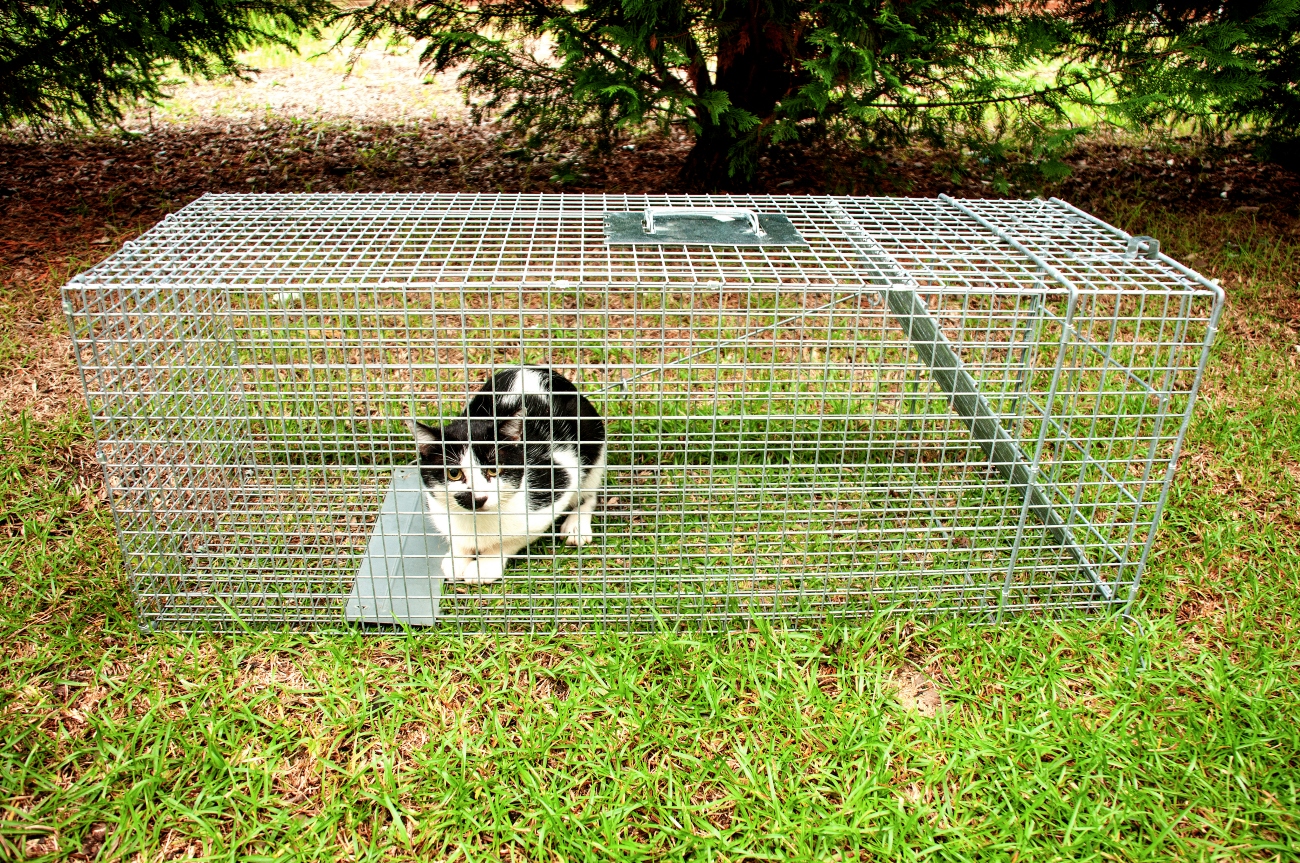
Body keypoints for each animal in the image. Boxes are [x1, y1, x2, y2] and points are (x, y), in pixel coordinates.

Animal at [413, 366, 605, 582]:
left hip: (593, 440)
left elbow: (512, 539)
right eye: (454, 473)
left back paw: (576, 525)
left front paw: (485, 566)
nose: (478, 498)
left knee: (589, 492)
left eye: (494, 469)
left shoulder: (559, 479)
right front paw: (457, 558)